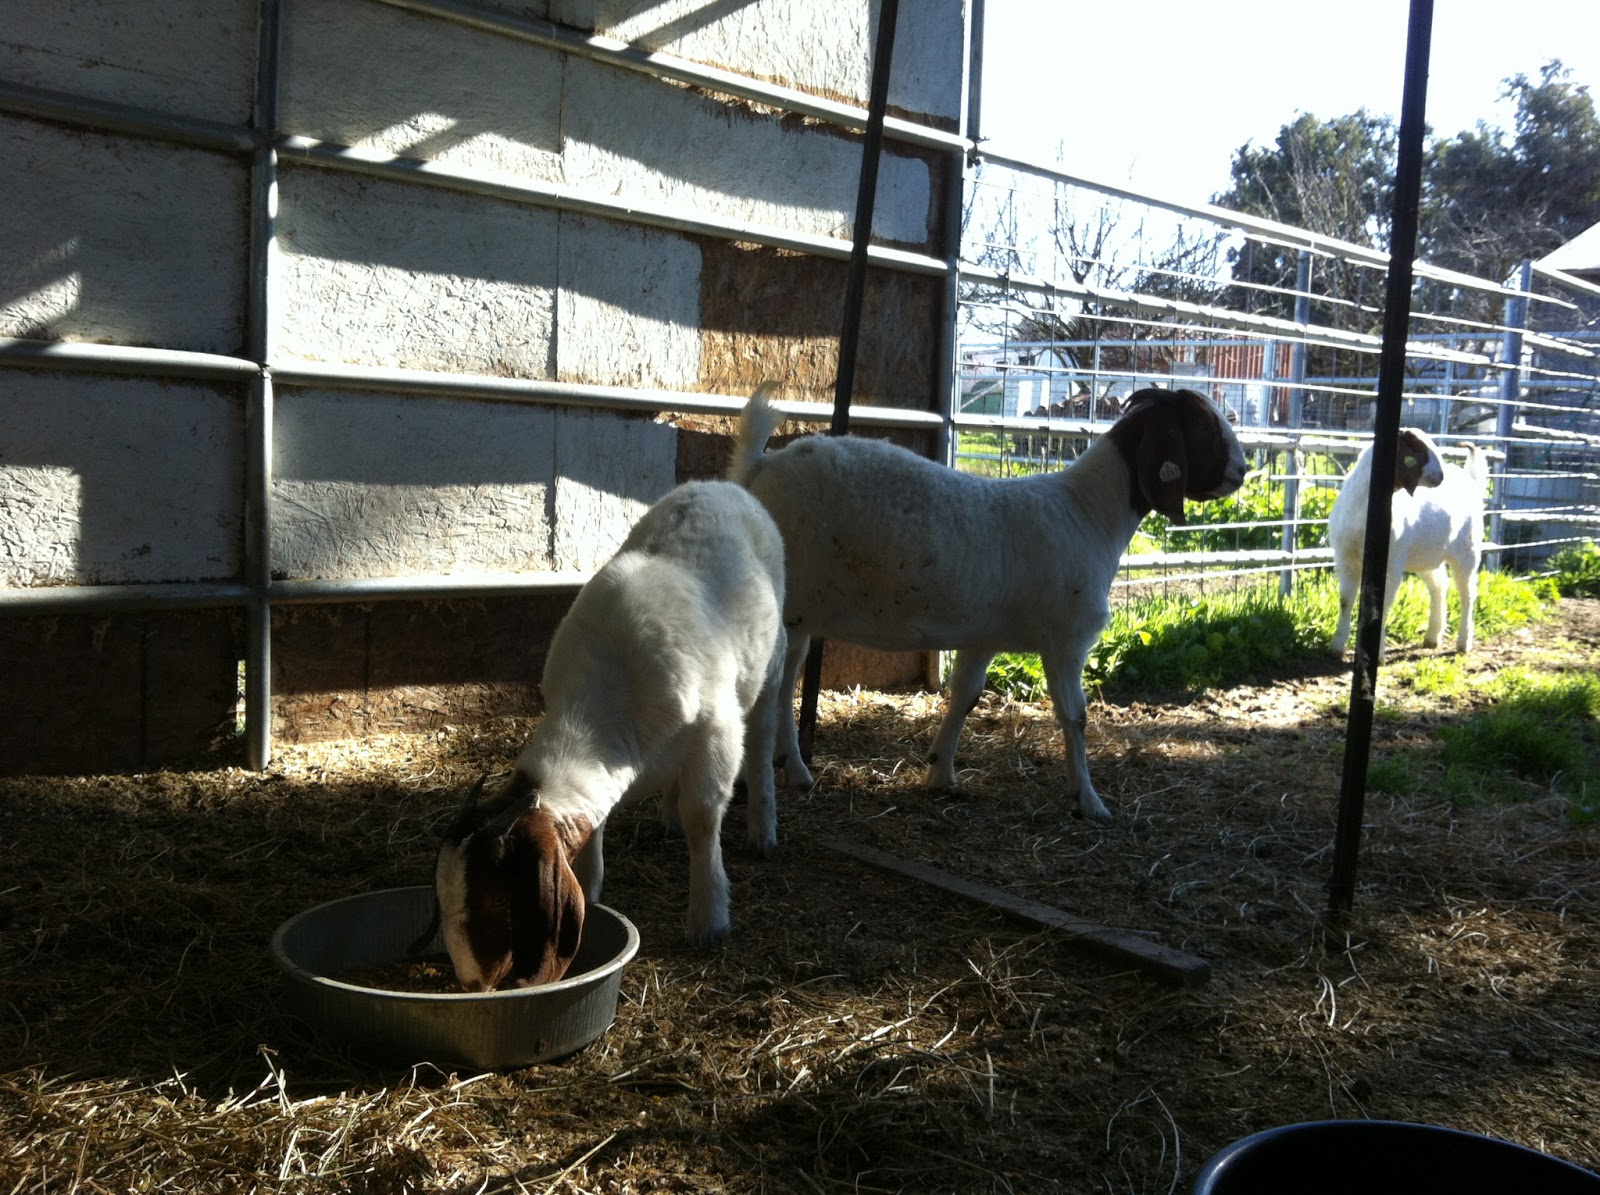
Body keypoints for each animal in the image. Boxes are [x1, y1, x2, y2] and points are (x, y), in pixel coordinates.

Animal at [429, 479, 786, 990]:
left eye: (495, 902)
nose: (473, 985)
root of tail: (718, 484)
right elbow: (598, 824)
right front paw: (595, 888)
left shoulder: (716, 731)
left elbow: (703, 817)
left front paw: (709, 918)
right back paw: (668, 814)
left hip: (772, 664)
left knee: (762, 739)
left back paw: (762, 829)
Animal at [728, 384, 1247, 823]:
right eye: (1204, 425)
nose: (1242, 470)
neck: (1088, 512)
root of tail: (758, 468)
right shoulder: (1066, 640)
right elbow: (1075, 717)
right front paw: (1090, 801)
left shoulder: (983, 637)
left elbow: (966, 697)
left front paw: (940, 772)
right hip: (791, 606)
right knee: (773, 688)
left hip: (798, 615)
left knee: (784, 685)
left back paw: (792, 770)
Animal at [1327, 428, 1486, 660]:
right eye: (1418, 449)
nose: (1441, 476)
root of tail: (1470, 481)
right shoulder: (1344, 558)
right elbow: (1345, 600)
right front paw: (1337, 646)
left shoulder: (1391, 563)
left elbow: (1381, 605)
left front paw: (1376, 653)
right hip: (1426, 555)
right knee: (1440, 585)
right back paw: (1433, 636)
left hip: (1468, 551)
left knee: (1468, 594)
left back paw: (1463, 643)